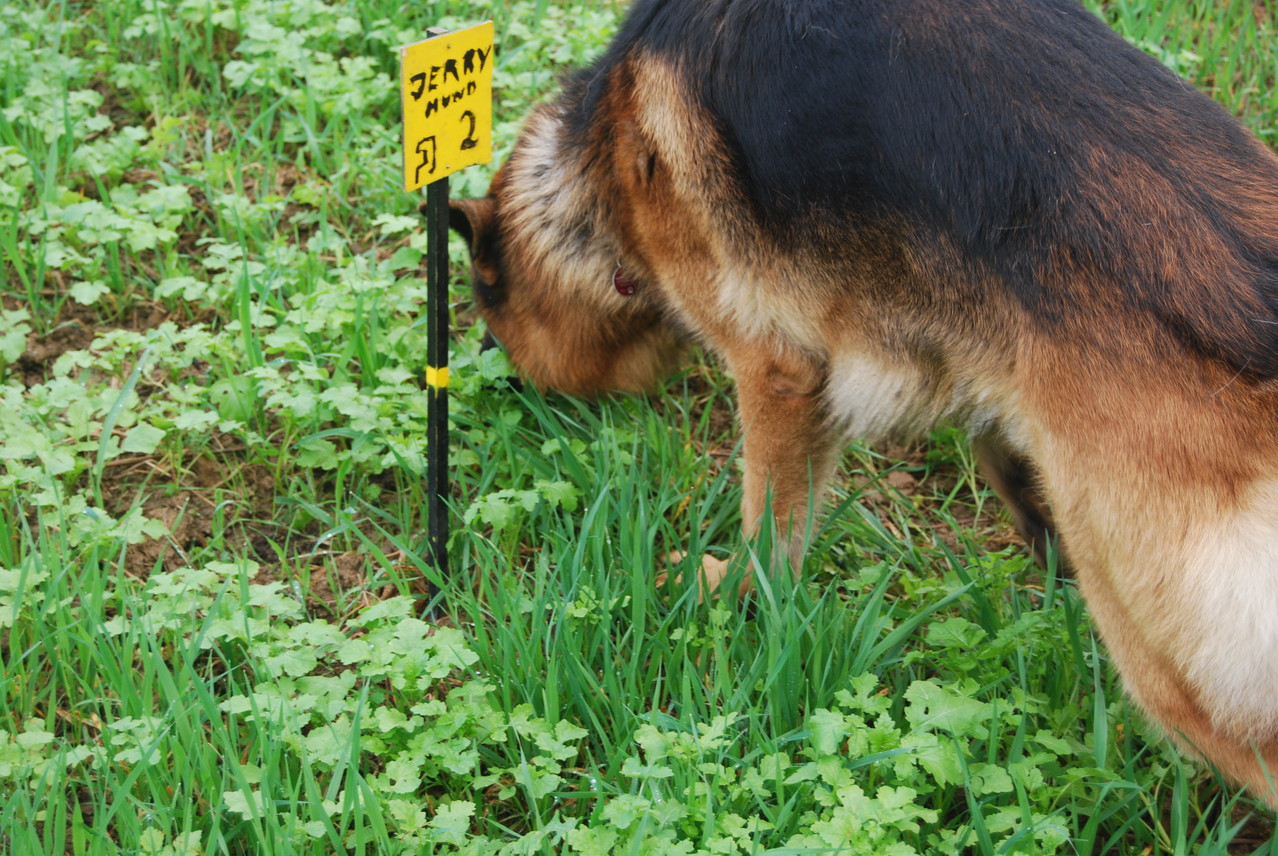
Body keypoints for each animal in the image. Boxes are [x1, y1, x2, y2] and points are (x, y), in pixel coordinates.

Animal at [447, 0, 1278, 802]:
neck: (597, 160)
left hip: (1159, 656)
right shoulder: (985, 364)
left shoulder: (777, 370)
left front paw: (733, 594)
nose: (492, 370)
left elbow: (769, 524)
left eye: (489, 306)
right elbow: (1006, 461)